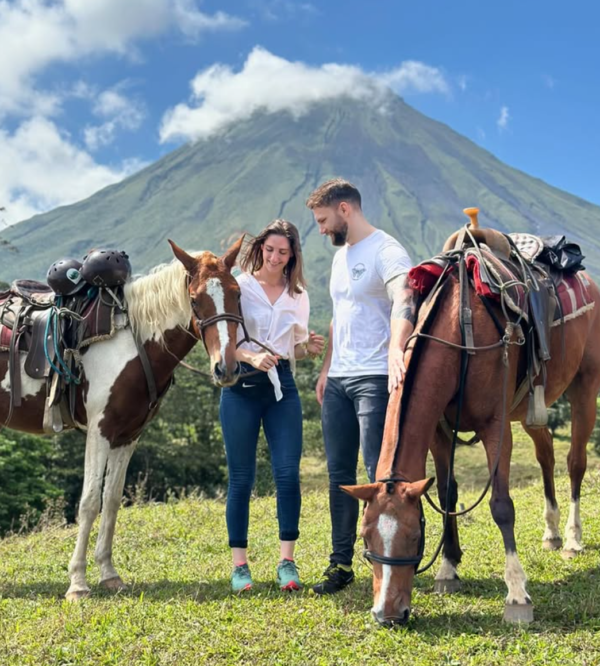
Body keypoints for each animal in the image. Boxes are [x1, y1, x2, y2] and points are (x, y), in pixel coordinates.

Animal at [0, 237, 244, 596]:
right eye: (195, 299)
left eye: (237, 293)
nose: (226, 368)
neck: (133, 342)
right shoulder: (99, 431)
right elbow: (89, 501)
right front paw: (78, 583)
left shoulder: (127, 436)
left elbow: (112, 500)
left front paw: (109, 574)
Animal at [342, 227, 600, 624]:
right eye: (366, 538)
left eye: (413, 537)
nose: (388, 614)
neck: (459, 327)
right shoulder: (439, 432)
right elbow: (448, 493)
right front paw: (448, 569)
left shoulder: (496, 428)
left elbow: (501, 505)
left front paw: (517, 593)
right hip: (531, 407)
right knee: (546, 456)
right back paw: (552, 532)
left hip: (585, 386)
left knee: (575, 463)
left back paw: (572, 538)